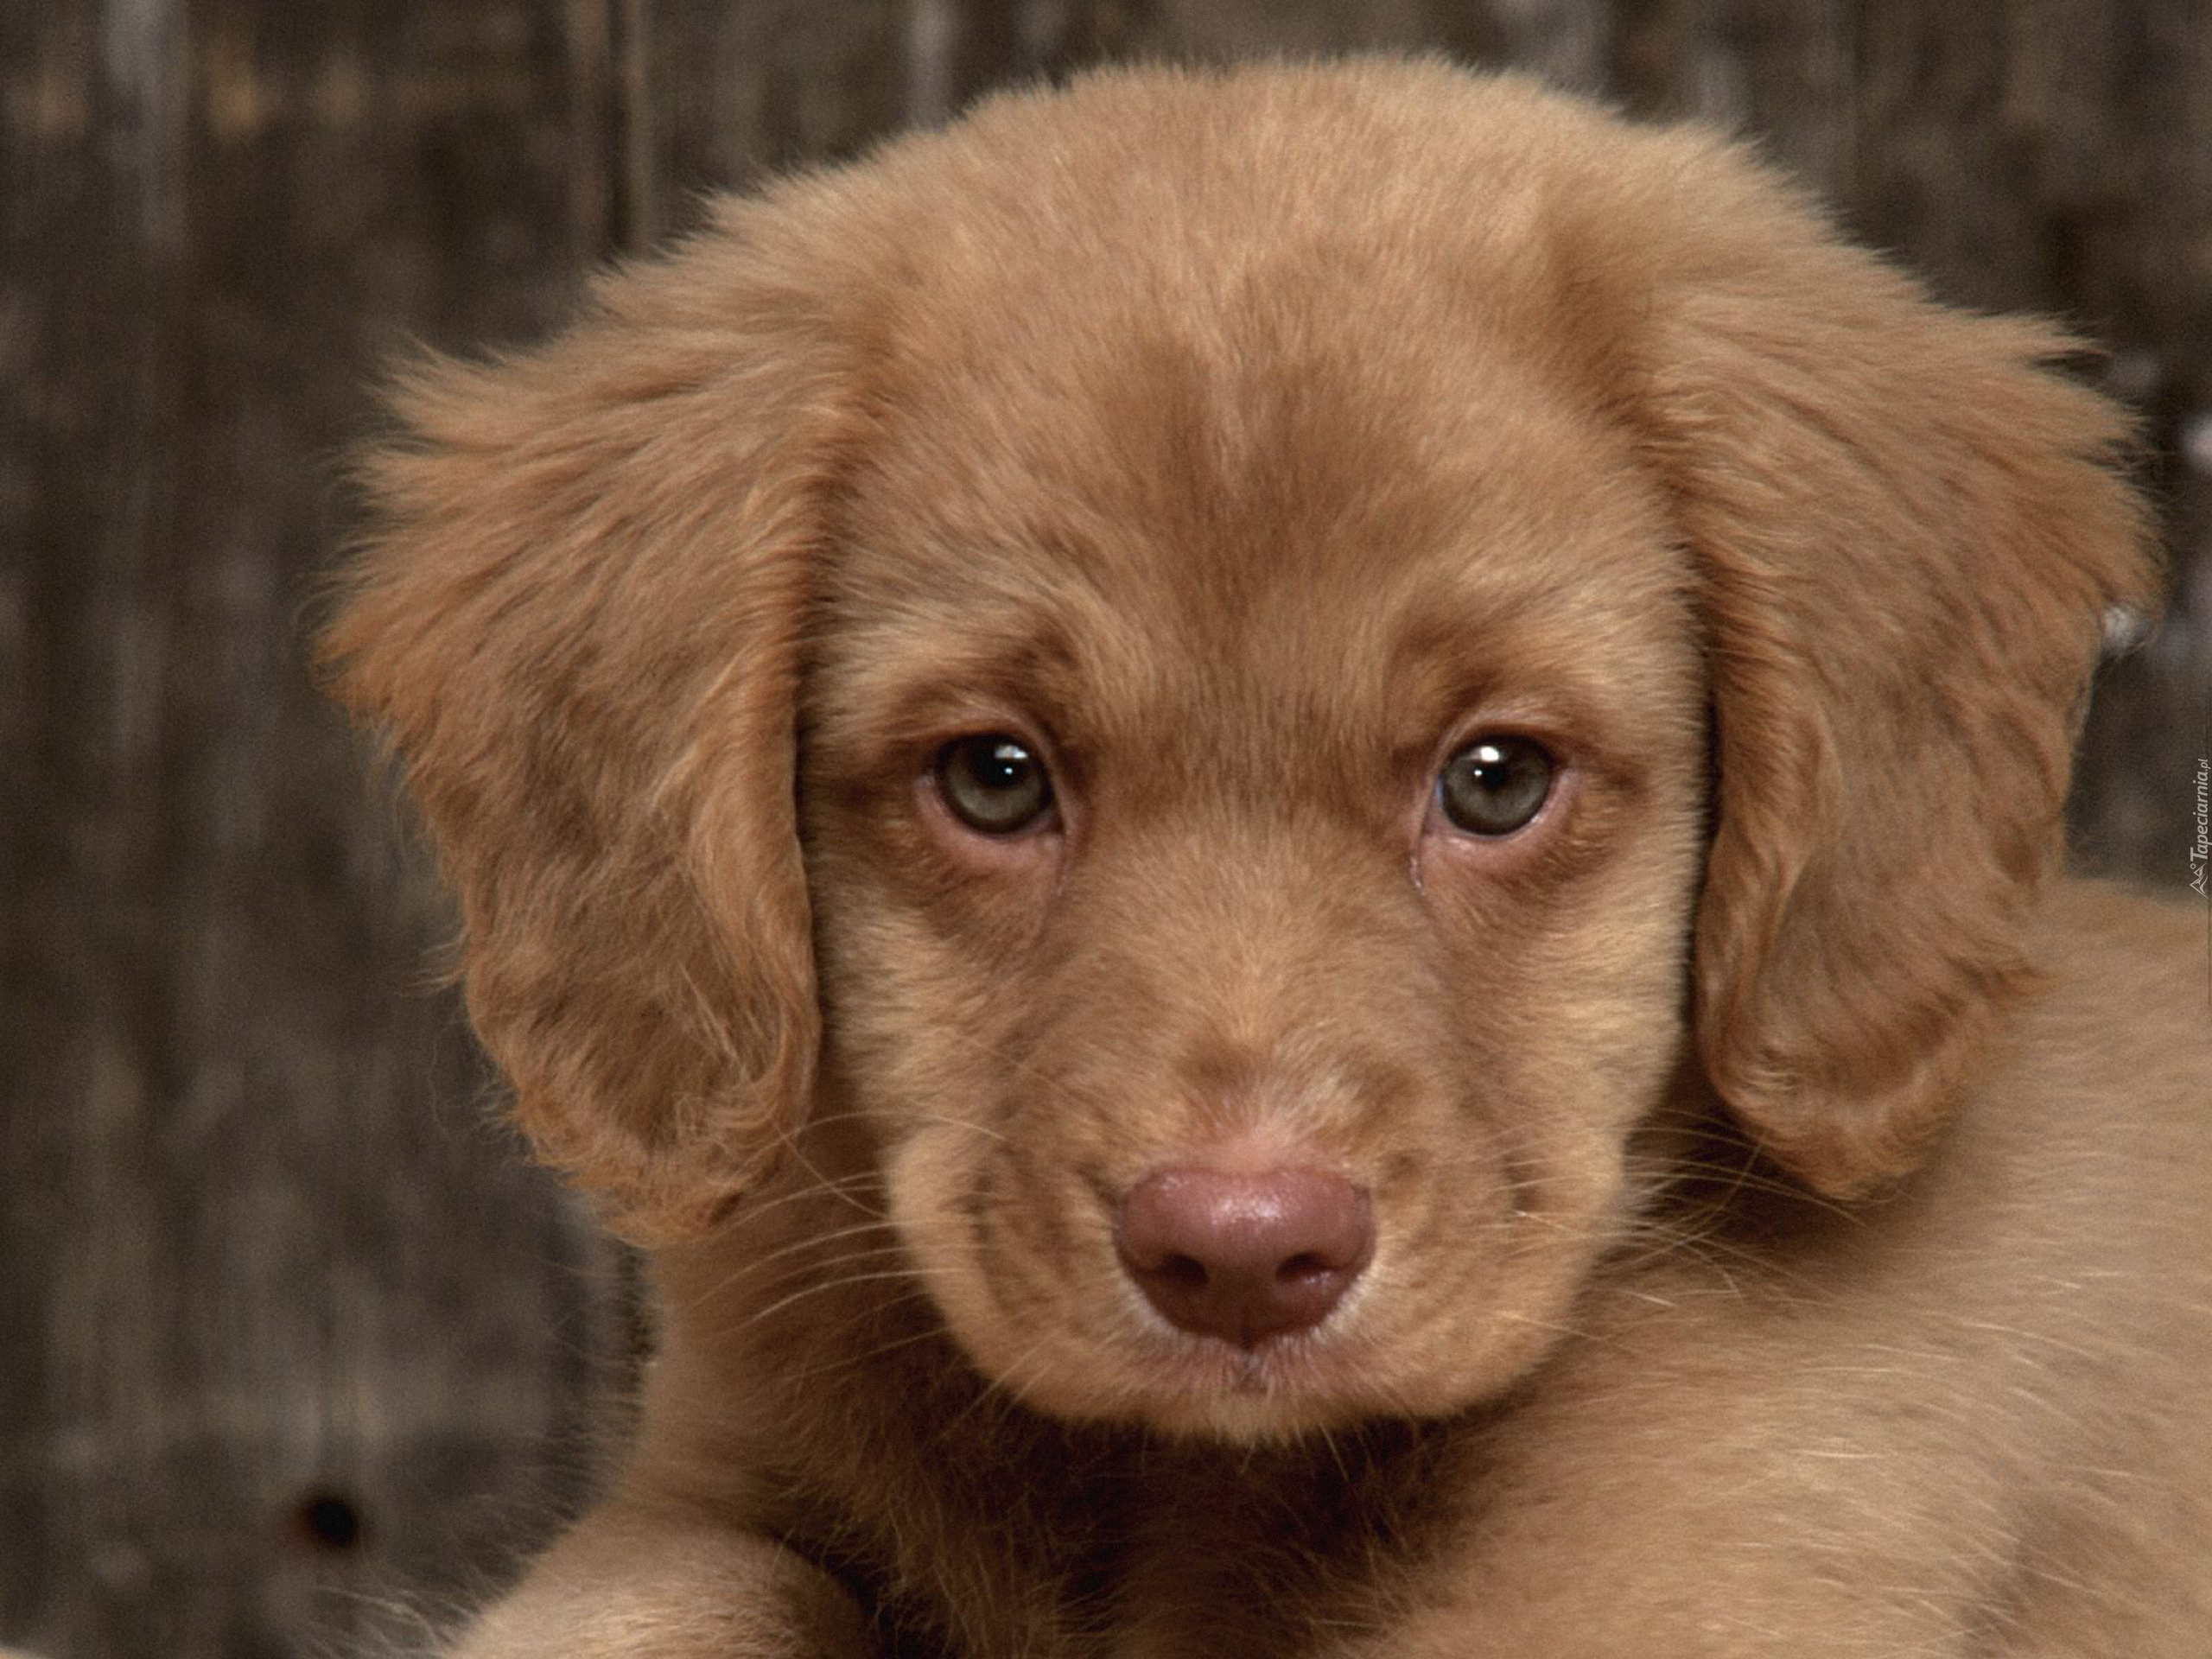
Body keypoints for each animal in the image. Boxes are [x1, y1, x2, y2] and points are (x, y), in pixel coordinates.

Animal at [327, 58, 2212, 1654]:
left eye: (1496, 780)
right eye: (993, 781)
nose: (1239, 1256)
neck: (1177, 1484)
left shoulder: (1698, 1557)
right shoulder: (710, 1493)